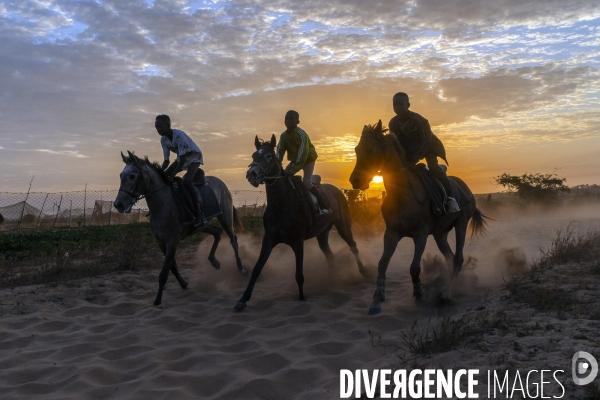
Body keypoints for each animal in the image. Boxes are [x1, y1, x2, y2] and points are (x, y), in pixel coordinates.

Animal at [113, 152, 245, 304]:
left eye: (132, 176)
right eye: (121, 175)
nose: (118, 204)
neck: (162, 203)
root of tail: (222, 184)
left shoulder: (172, 241)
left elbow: (164, 272)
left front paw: (158, 300)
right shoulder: (162, 243)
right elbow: (172, 267)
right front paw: (183, 283)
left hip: (225, 218)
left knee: (233, 240)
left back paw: (240, 268)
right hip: (203, 226)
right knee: (217, 233)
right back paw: (214, 261)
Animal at [233, 135, 366, 310]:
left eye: (269, 156)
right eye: (254, 156)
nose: (252, 174)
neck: (282, 205)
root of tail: (336, 190)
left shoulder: (298, 242)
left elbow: (299, 274)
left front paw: (302, 297)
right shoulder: (268, 239)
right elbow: (257, 268)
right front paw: (243, 299)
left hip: (343, 226)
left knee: (353, 247)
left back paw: (363, 272)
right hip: (322, 234)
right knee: (330, 255)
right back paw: (332, 280)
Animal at [346, 120, 488, 314]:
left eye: (371, 149)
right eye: (356, 149)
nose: (355, 180)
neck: (402, 194)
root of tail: (465, 187)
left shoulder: (420, 235)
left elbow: (414, 267)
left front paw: (419, 294)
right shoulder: (391, 234)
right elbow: (382, 263)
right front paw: (376, 300)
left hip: (461, 224)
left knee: (458, 258)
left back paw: (448, 291)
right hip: (440, 234)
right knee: (449, 258)